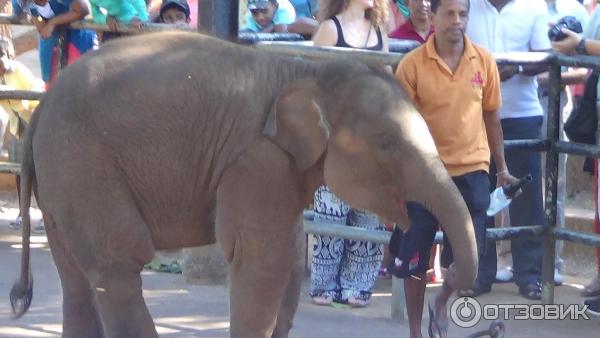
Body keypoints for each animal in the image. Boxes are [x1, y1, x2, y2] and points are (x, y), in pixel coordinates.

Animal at [9, 31, 478, 338]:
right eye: (387, 143)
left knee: (76, 279)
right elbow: (263, 261)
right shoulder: (255, 160)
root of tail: (42, 105)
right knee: (118, 264)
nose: (446, 286)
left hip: (62, 175)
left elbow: (290, 261)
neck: (308, 71)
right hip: (84, 164)